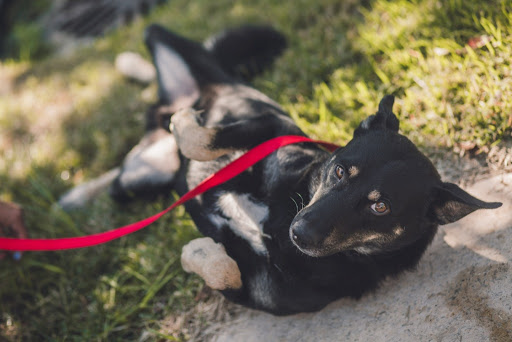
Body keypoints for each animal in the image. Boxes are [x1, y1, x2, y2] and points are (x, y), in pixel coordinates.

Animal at [59, 24, 500, 316]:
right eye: (341, 172)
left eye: (381, 207)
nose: (300, 232)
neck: (278, 219)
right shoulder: (270, 129)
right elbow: (205, 138)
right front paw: (188, 123)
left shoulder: (254, 294)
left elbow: (223, 268)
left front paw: (197, 249)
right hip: (179, 61)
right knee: (167, 52)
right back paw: (138, 75)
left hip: (138, 180)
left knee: (122, 176)